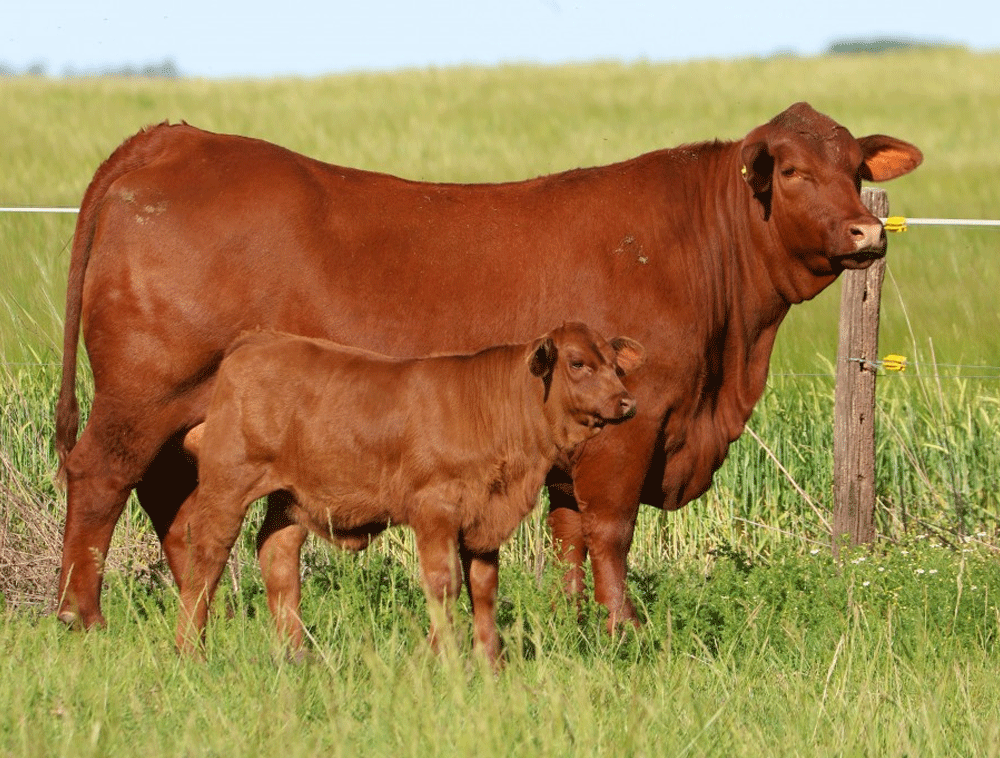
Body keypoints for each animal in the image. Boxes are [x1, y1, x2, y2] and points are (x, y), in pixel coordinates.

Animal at [50, 102, 916, 636]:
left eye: (855, 166)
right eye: (793, 172)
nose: (867, 232)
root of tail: (175, 137)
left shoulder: (577, 441)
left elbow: (569, 536)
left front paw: (574, 626)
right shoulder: (629, 431)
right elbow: (610, 531)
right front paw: (624, 628)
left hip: (188, 413)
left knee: (170, 498)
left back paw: (216, 618)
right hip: (142, 394)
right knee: (100, 479)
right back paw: (80, 618)